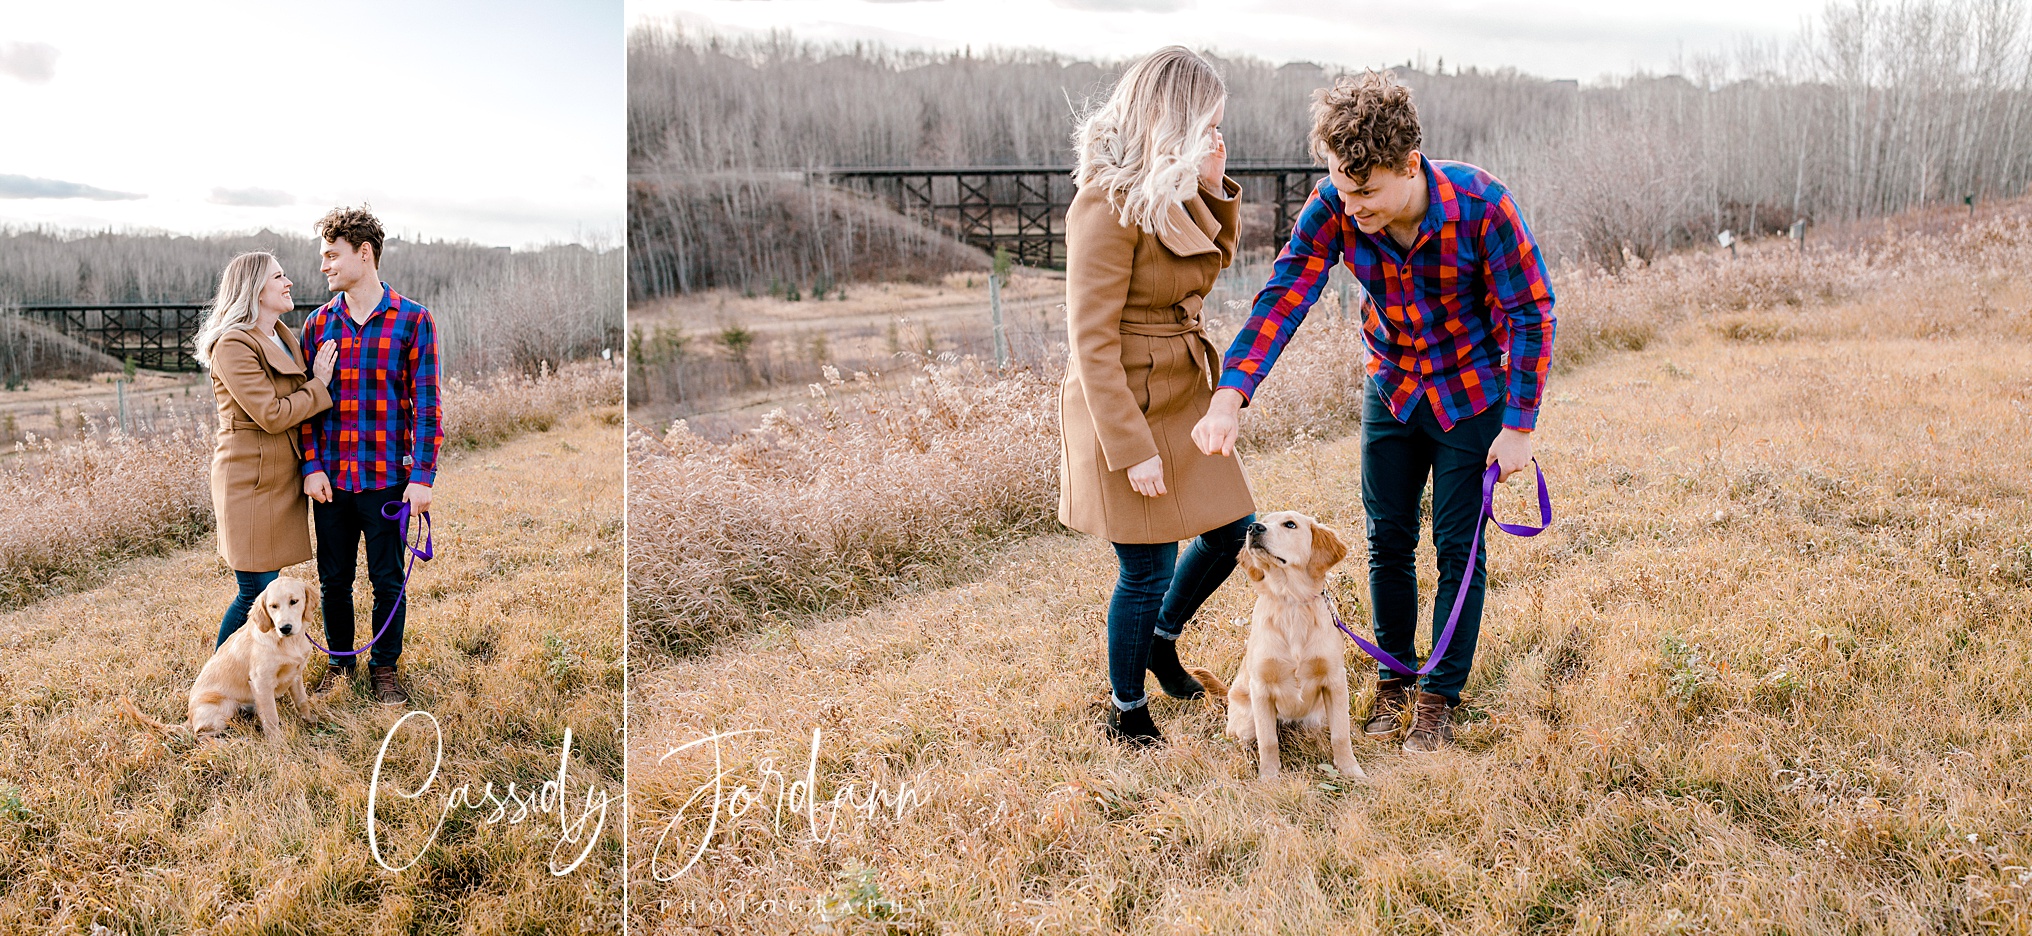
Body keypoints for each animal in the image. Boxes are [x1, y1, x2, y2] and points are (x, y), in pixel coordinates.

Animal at [121, 576, 316, 734]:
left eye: (294, 601)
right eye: (273, 606)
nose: (285, 628)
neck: (287, 642)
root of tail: (190, 718)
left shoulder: (295, 674)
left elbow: (302, 701)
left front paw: (312, 722)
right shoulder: (261, 682)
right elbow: (271, 718)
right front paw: (277, 744)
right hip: (225, 706)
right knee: (201, 735)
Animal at [1202, 511, 1365, 779]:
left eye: (1290, 524)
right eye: (1262, 520)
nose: (1253, 528)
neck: (1291, 602)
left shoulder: (1335, 680)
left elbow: (1340, 734)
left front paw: (1351, 769)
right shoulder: (1261, 687)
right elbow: (1268, 741)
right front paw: (1269, 777)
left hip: (1318, 715)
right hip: (1246, 719)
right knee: (1244, 739)